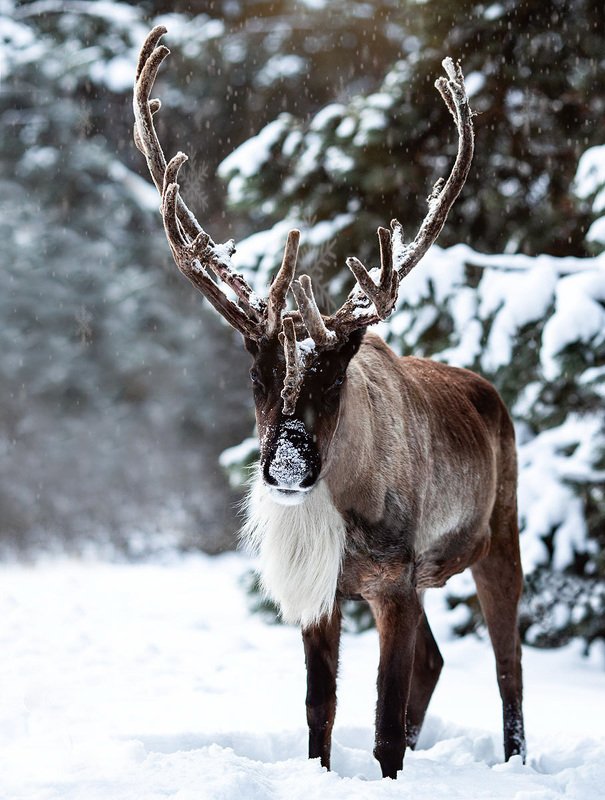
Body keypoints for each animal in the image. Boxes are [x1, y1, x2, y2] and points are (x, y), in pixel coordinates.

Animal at [133, 26, 526, 780]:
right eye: (256, 374)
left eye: (335, 379)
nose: (287, 466)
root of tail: (489, 390)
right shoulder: (325, 589)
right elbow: (321, 709)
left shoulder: (394, 579)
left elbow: (380, 717)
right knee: (436, 662)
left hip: (499, 537)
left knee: (506, 669)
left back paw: (515, 761)